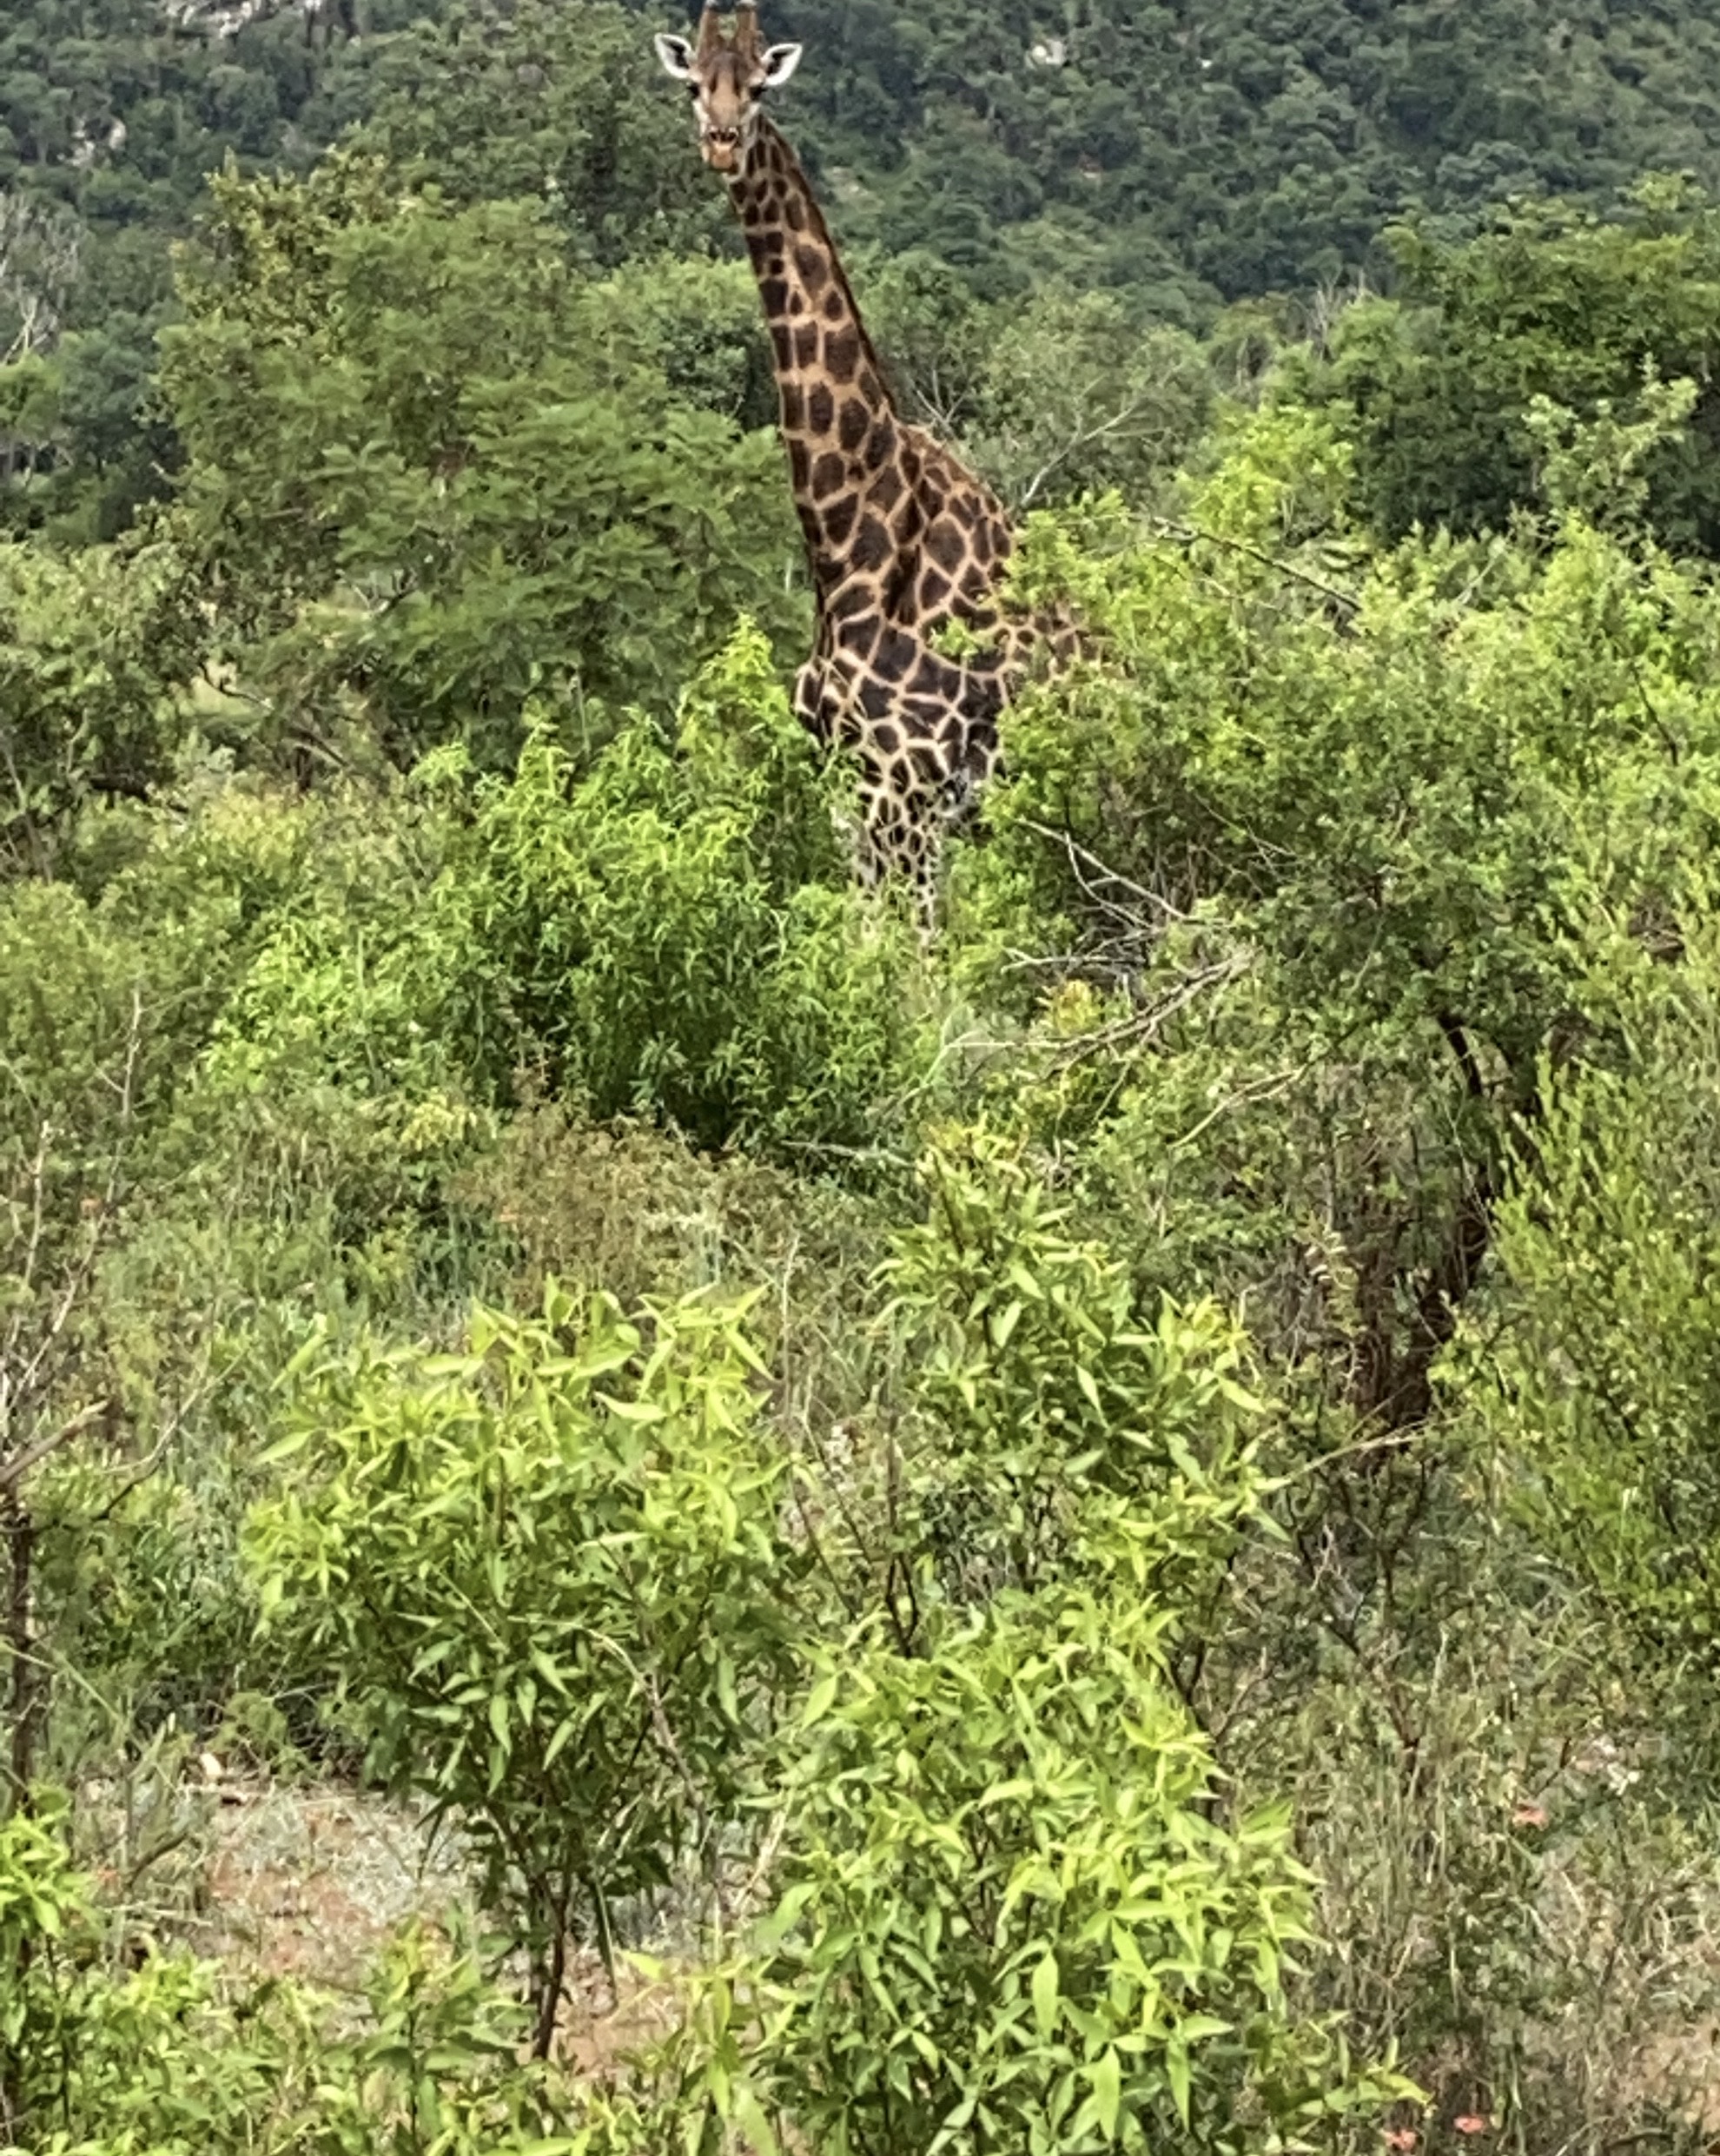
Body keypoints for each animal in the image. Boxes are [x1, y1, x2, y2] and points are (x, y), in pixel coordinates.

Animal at [655, 4, 1049, 921]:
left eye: (758, 87)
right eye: (694, 86)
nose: (722, 142)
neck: (844, 540)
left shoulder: (907, 796)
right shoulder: (849, 795)